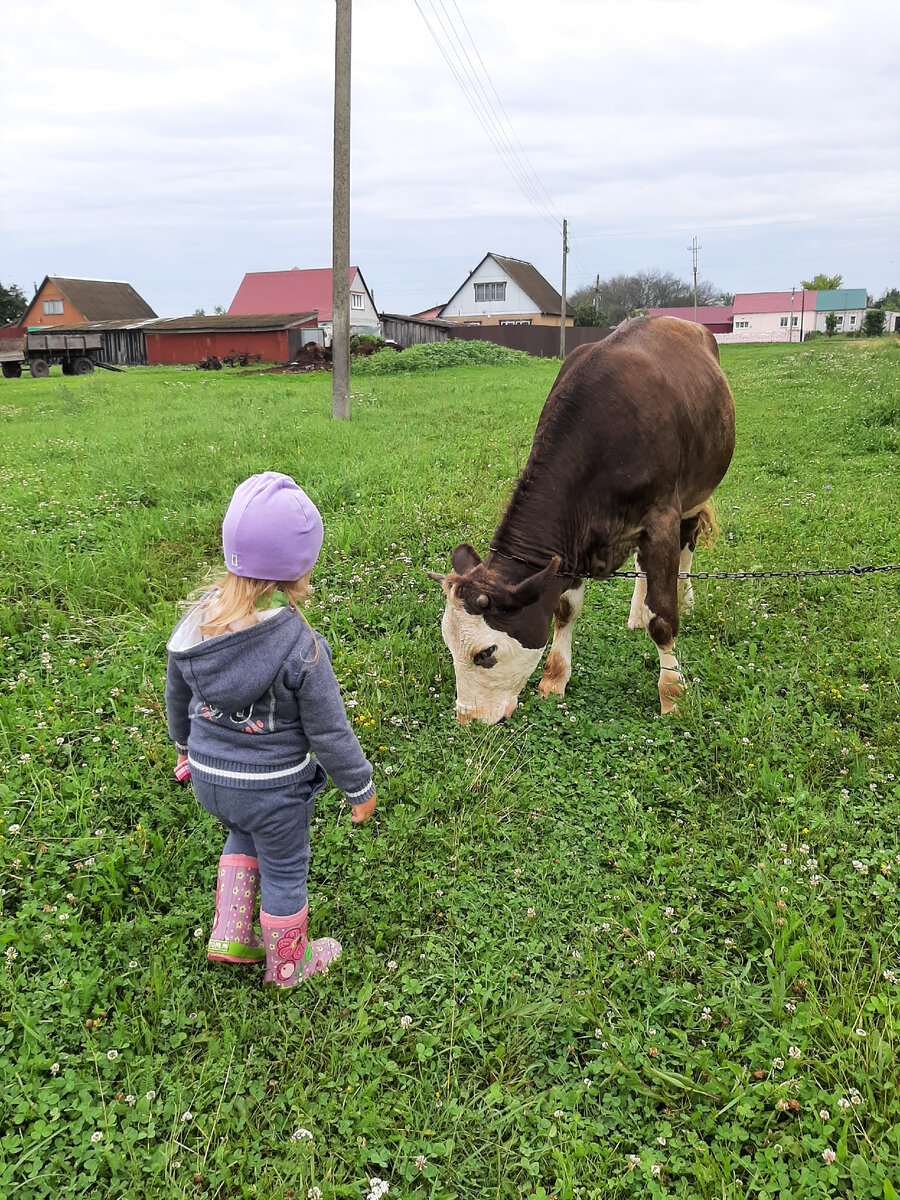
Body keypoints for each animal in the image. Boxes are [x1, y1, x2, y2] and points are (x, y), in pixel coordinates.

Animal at [434, 314, 734, 720]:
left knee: (686, 543)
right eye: (449, 646)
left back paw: (684, 597)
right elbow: (564, 608)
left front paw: (672, 694)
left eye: (485, 653)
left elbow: (662, 619)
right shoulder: (573, 539)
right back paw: (635, 614)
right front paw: (553, 680)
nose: (468, 719)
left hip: (696, 489)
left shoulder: (661, 518)